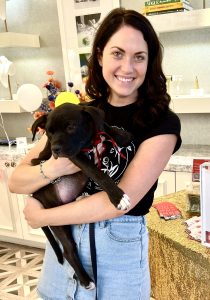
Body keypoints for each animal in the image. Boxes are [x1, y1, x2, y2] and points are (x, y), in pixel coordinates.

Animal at [30, 102, 132, 288]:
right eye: (49, 132)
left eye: (71, 127)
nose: (55, 150)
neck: (88, 142)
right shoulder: (75, 155)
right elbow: (96, 172)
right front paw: (118, 197)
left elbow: (103, 125)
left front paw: (121, 135)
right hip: (55, 218)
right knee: (69, 250)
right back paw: (86, 280)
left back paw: (82, 197)